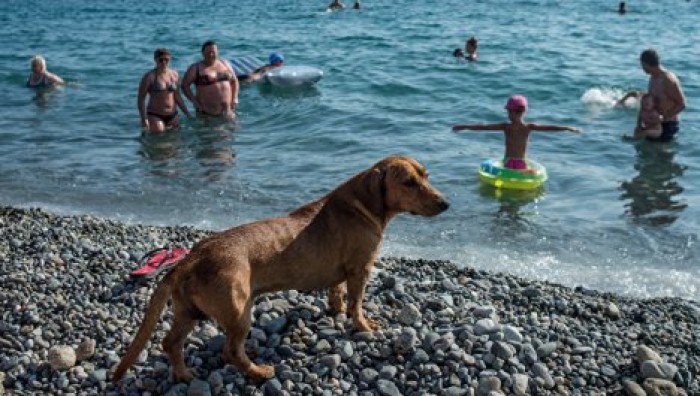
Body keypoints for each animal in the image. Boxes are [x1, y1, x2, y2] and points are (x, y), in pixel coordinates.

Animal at [109, 156, 448, 382]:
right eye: (409, 183)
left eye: (427, 175)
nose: (446, 204)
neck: (364, 205)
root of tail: (191, 258)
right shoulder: (361, 270)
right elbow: (357, 304)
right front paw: (362, 326)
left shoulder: (343, 274)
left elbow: (336, 293)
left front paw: (336, 310)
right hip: (239, 311)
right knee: (231, 351)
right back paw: (259, 372)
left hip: (188, 311)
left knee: (171, 343)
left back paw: (184, 376)